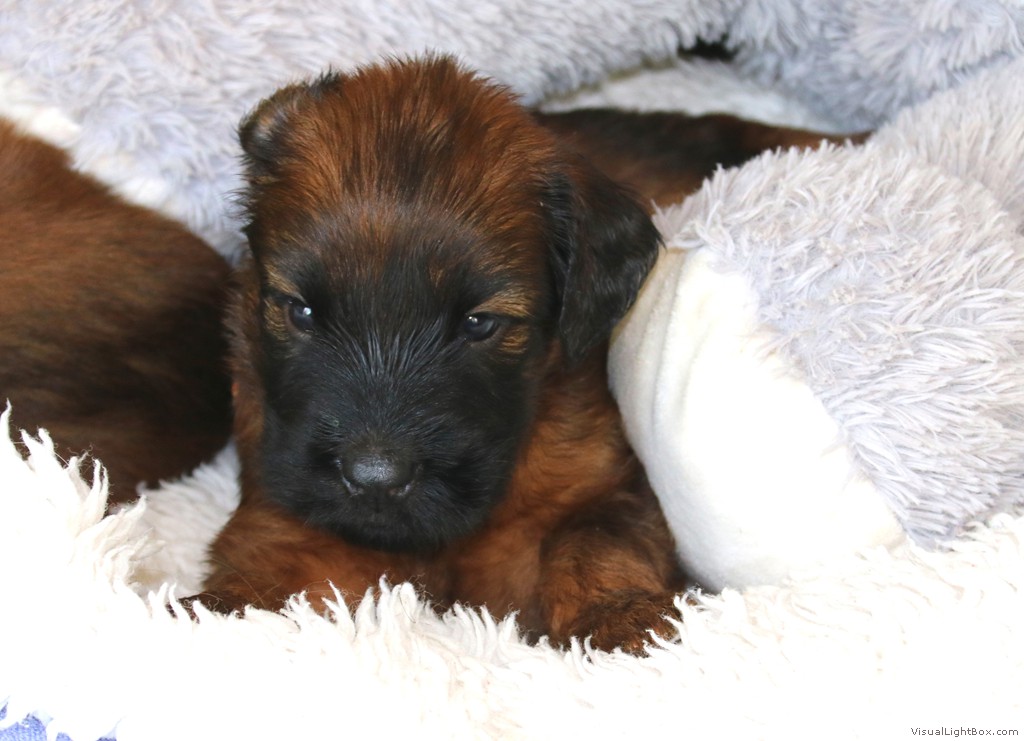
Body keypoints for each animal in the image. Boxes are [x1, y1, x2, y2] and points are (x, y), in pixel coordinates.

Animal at [199, 56, 851, 651]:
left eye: (479, 323)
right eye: (301, 312)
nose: (375, 479)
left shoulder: (609, 485)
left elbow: (591, 540)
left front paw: (622, 618)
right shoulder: (285, 512)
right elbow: (264, 579)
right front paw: (207, 613)